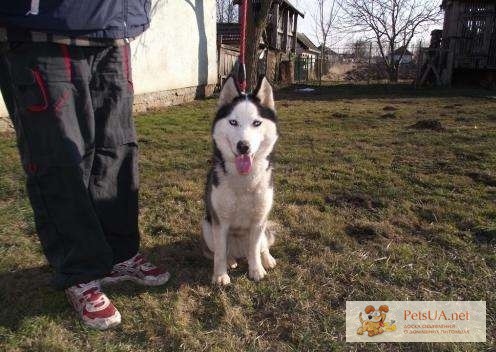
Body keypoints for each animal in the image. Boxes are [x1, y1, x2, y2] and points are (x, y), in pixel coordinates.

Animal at [202, 77, 280, 286]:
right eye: (233, 122)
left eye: (256, 123)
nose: (243, 146)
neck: (243, 181)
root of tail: (239, 252)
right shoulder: (219, 223)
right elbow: (220, 253)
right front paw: (220, 275)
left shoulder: (259, 220)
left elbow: (255, 250)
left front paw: (256, 270)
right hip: (207, 227)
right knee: (223, 251)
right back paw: (231, 260)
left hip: (263, 226)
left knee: (261, 246)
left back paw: (267, 259)